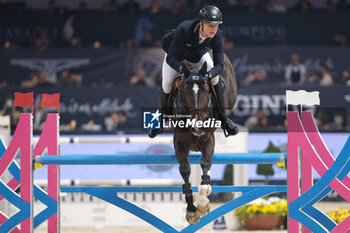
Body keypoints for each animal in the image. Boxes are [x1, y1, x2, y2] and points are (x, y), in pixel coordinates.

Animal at [170, 54, 237, 224]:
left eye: (206, 90)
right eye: (184, 90)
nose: (197, 126)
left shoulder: (209, 140)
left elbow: (205, 163)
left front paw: (202, 204)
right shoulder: (179, 142)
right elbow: (185, 169)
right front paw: (191, 211)